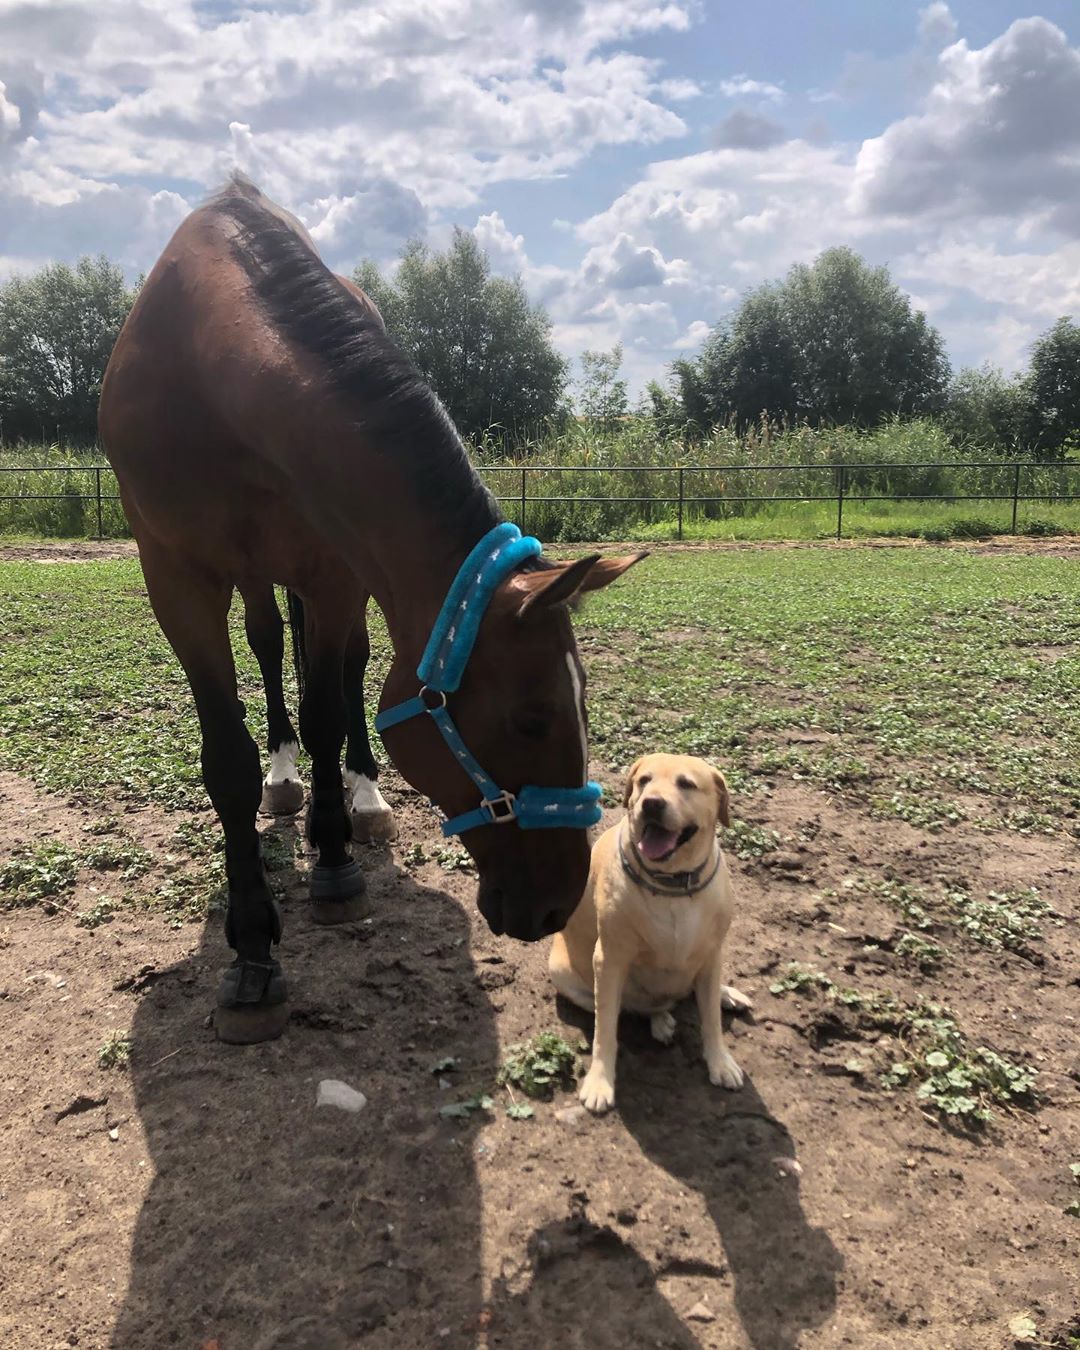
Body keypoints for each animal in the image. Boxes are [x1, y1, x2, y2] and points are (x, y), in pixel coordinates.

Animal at [97, 176, 642, 1042]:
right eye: (533, 718)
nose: (561, 901)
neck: (212, 373)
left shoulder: (335, 570)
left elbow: (330, 709)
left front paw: (335, 863)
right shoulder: (174, 578)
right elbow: (227, 759)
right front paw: (252, 951)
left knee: (343, 676)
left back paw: (359, 798)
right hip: (252, 576)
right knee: (267, 644)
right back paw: (285, 781)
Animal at [548, 756, 750, 1112]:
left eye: (686, 784)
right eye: (644, 780)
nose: (652, 803)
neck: (672, 883)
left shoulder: (712, 954)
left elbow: (710, 1019)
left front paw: (720, 1062)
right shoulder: (610, 961)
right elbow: (605, 1031)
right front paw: (600, 1081)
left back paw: (725, 995)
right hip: (564, 974)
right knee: (636, 1007)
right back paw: (661, 1019)